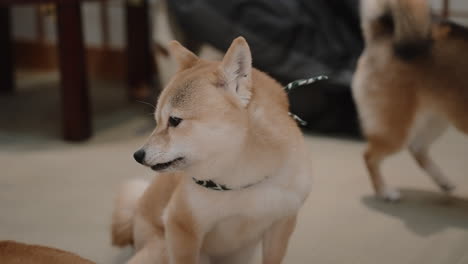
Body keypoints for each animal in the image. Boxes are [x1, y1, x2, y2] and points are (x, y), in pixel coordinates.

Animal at [111, 37, 312, 264]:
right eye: (157, 121)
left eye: (174, 120)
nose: (138, 155)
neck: (243, 179)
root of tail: (135, 218)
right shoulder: (181, 224)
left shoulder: (281, 224)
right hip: (162, 249)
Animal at [352, 0, 468, 200]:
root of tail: (385, 32)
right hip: (396, 127)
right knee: (370, 156)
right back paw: (385, 191)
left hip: (436, 120)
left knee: (417, 149)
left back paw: (444, 182)